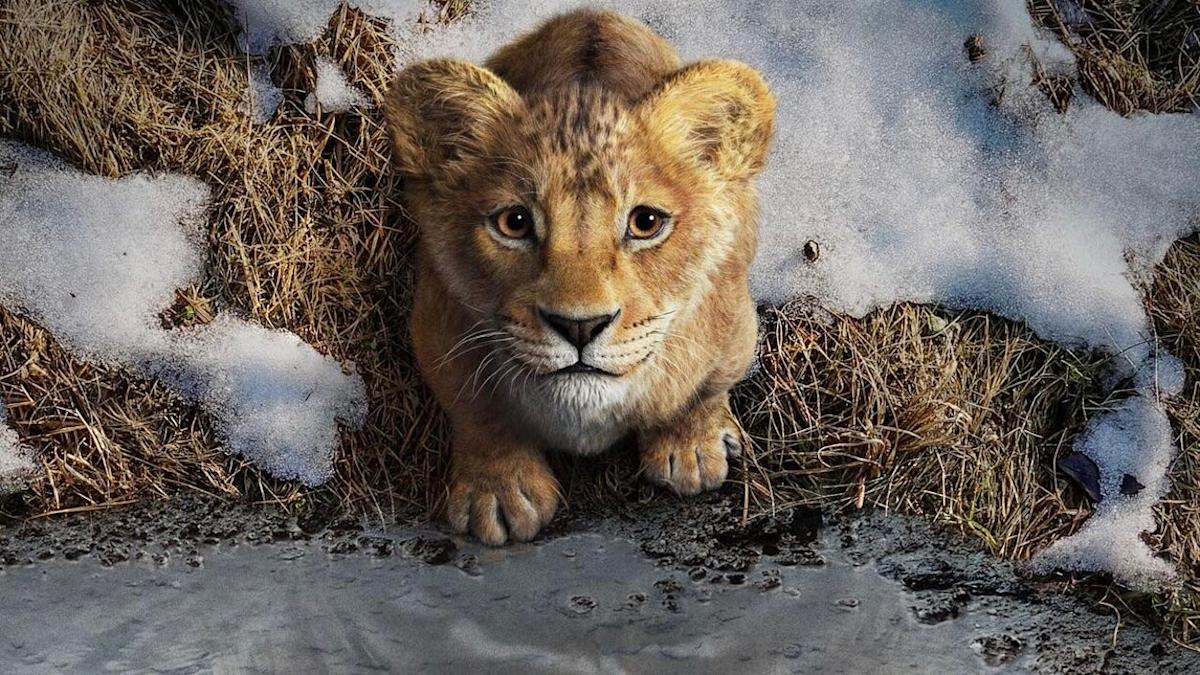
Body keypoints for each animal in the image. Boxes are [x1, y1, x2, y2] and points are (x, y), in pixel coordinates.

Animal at [384, 9, 775, 545]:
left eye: (646, 222)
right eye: (514, 222)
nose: (579, 326)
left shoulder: (734, 324)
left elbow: (703, 389)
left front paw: (691, 448)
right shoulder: (436, 325)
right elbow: (477, 411)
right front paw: (498, 491)